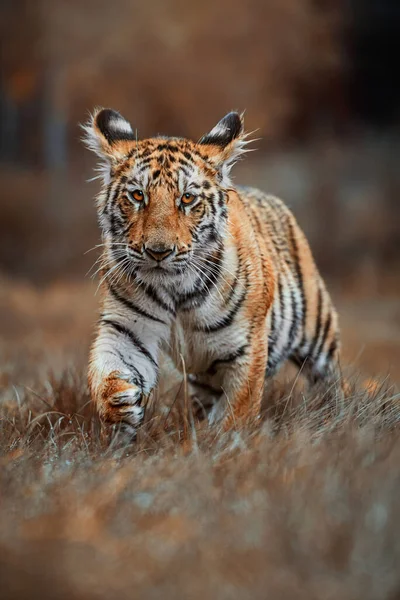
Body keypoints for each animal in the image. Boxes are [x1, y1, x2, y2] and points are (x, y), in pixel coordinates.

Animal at [83, 106, 340, 436]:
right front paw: (119, 404)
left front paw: (222, 441)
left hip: (317, 332)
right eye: (138, 196)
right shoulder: (126, 329)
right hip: (205, 373)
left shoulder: (246, 347)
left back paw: (336, 414)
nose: (158, 252)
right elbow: (105, 367)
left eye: (187, 198)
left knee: (330, 379)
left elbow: (237, 411)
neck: (175, 290)